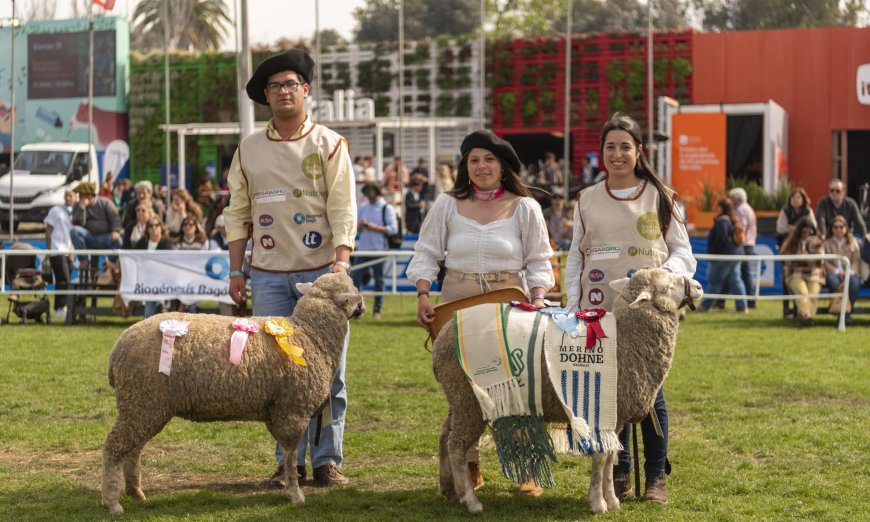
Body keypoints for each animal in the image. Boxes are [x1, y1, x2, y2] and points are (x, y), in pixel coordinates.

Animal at [101, 272, 364, 512]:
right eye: (353, 292)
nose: (362, 305)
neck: (309, 335)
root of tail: (116, 350)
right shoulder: (292, 411)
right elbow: (290, 457)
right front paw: (295, 494)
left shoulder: (280, 411)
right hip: (142, 400)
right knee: (114, 447)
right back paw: (112, 503)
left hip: (145, 406)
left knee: (133, 449)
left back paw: (136, 493)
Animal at [432, 268, 704, 512]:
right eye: (666, 287)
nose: (699, 286)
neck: (626, 340)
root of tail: (440, 338)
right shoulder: (597, 410)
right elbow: (601, 457)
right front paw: (598, 503)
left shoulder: (614, 416)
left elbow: (610, 457)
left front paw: (612, 500)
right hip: (469, 400)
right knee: (456, 445)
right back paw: (470, 501)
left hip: (457, 396)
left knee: (444, 434)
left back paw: (448, 489)